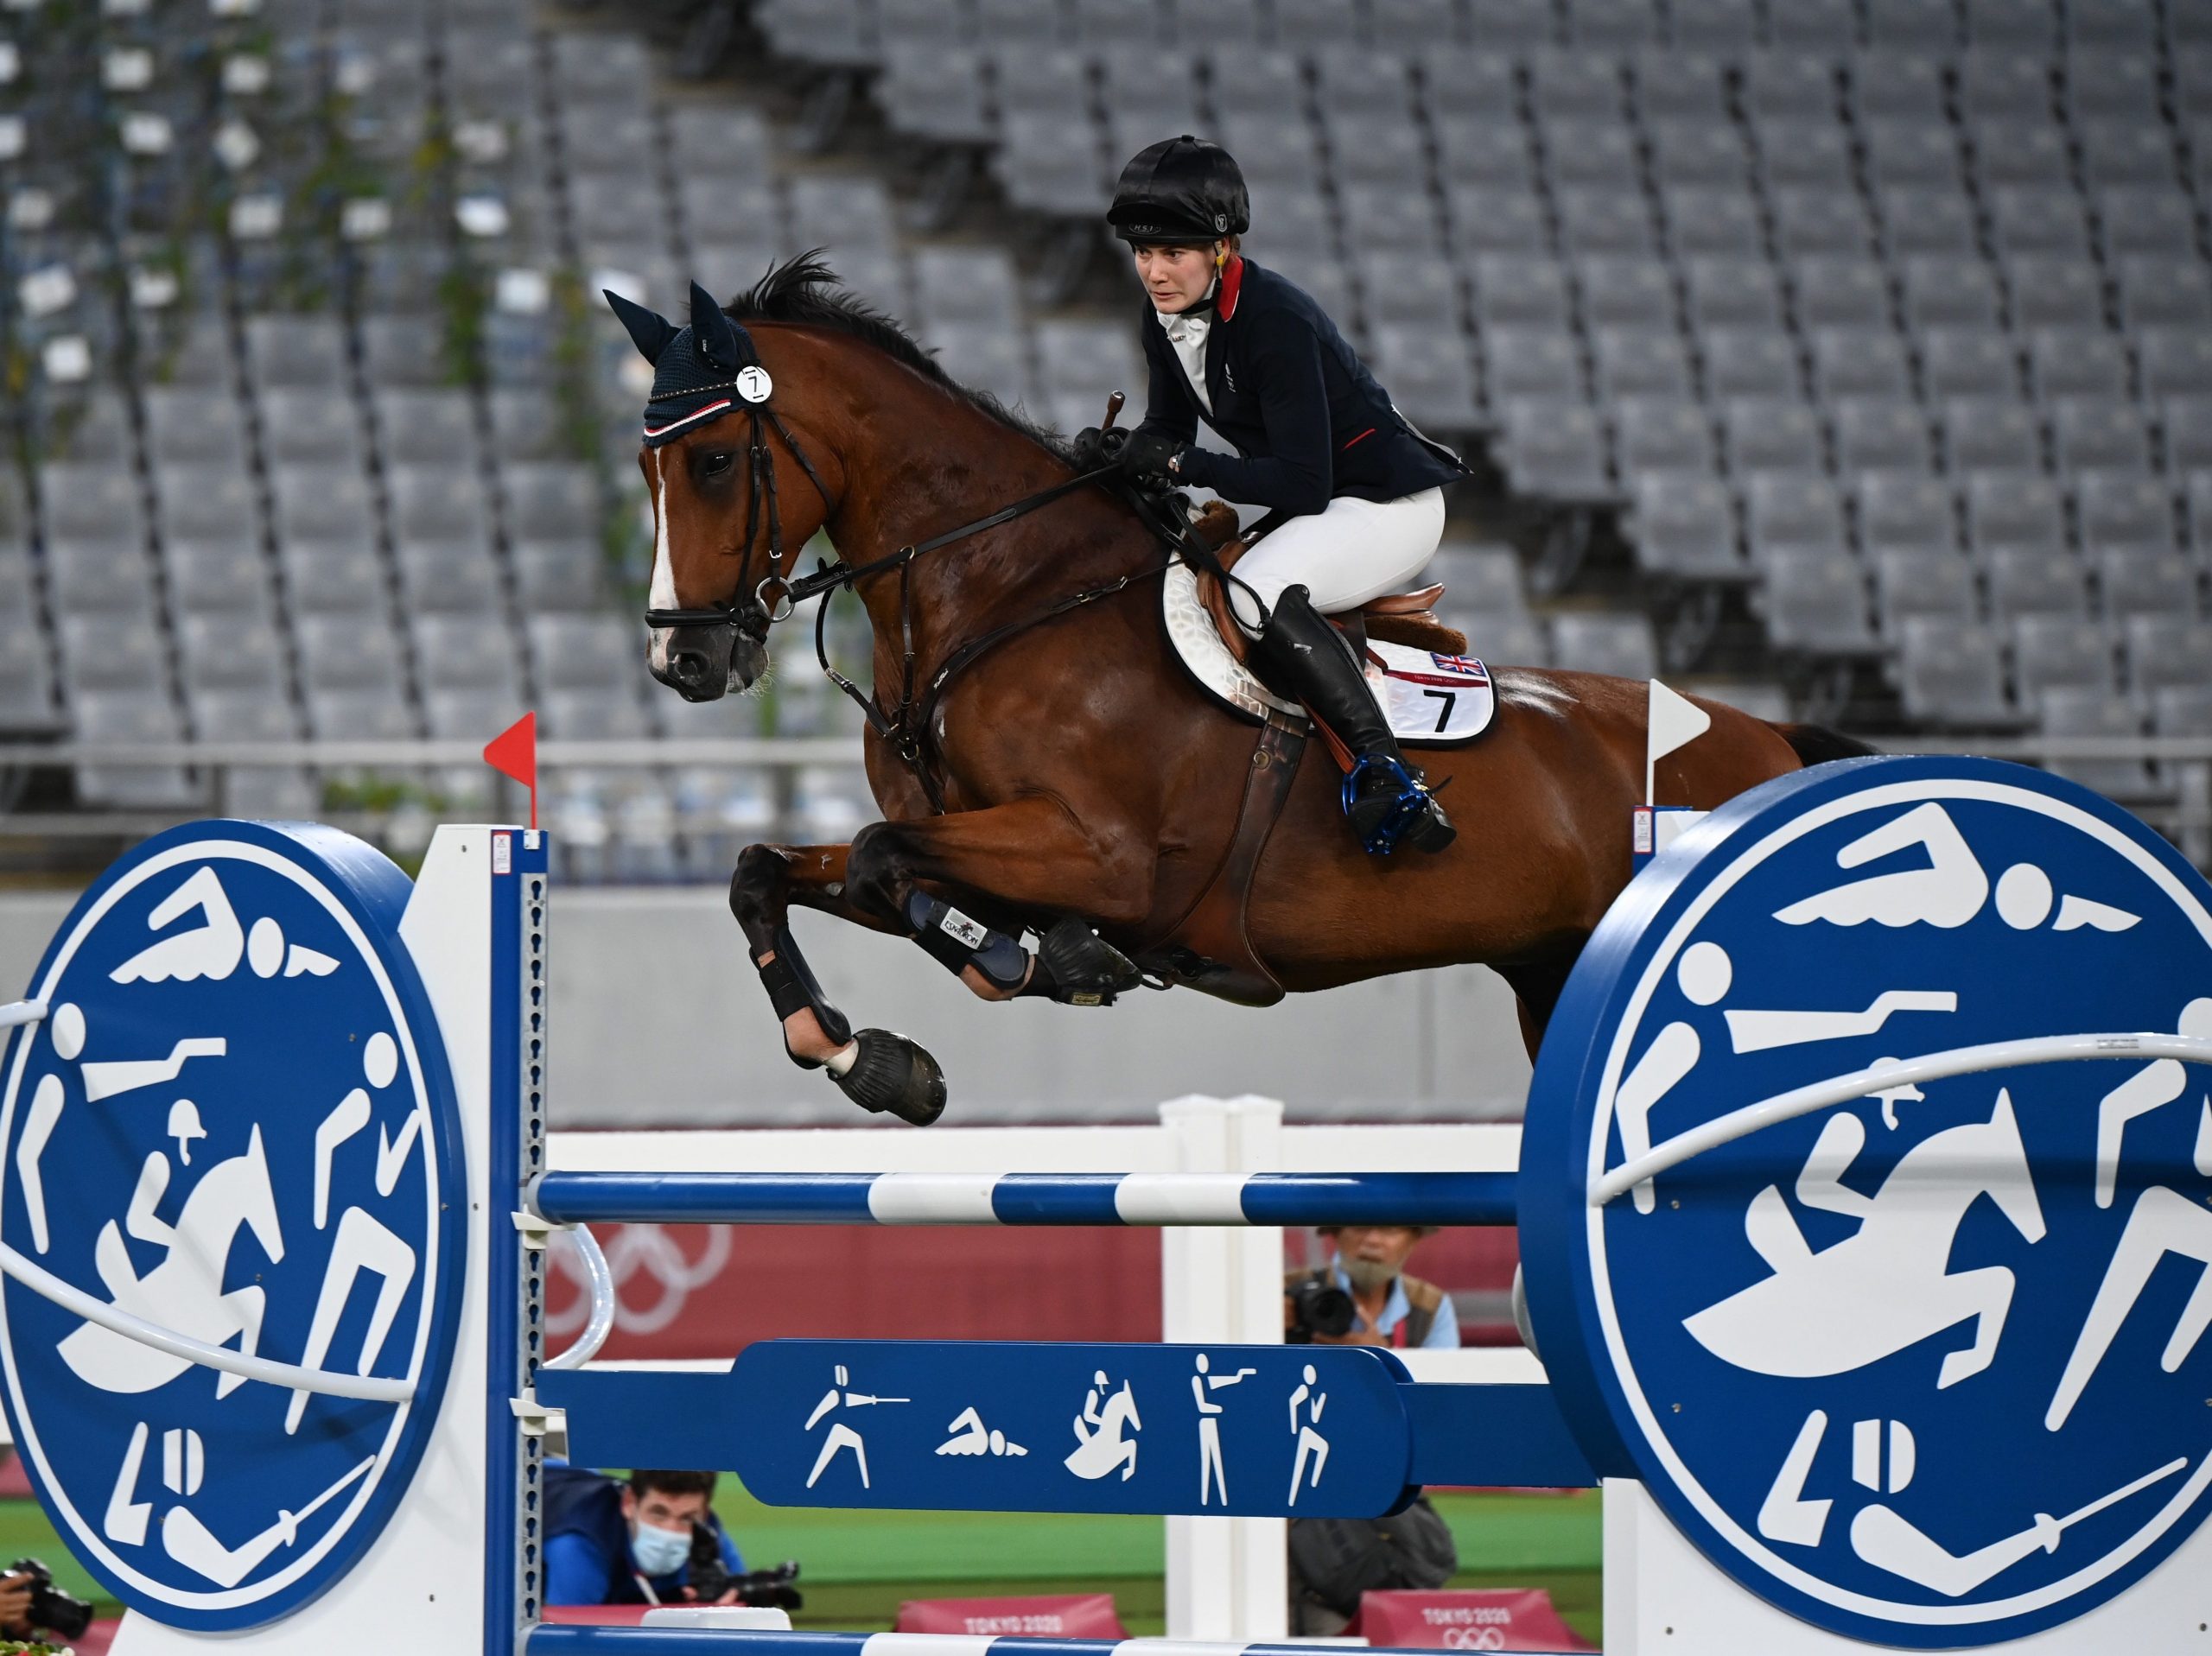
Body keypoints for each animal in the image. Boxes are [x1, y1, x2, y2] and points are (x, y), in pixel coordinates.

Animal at [623, 258, 1866, 1132]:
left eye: (717, 462)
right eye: (645, 467)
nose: (686, 665)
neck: (1001, 592)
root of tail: (1771, 740)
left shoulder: (1101, 856)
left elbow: (891, 861)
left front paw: (1038, 962)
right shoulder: (973, 837)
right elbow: (771, 873)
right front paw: (869, 1058)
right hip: (1548, 976)